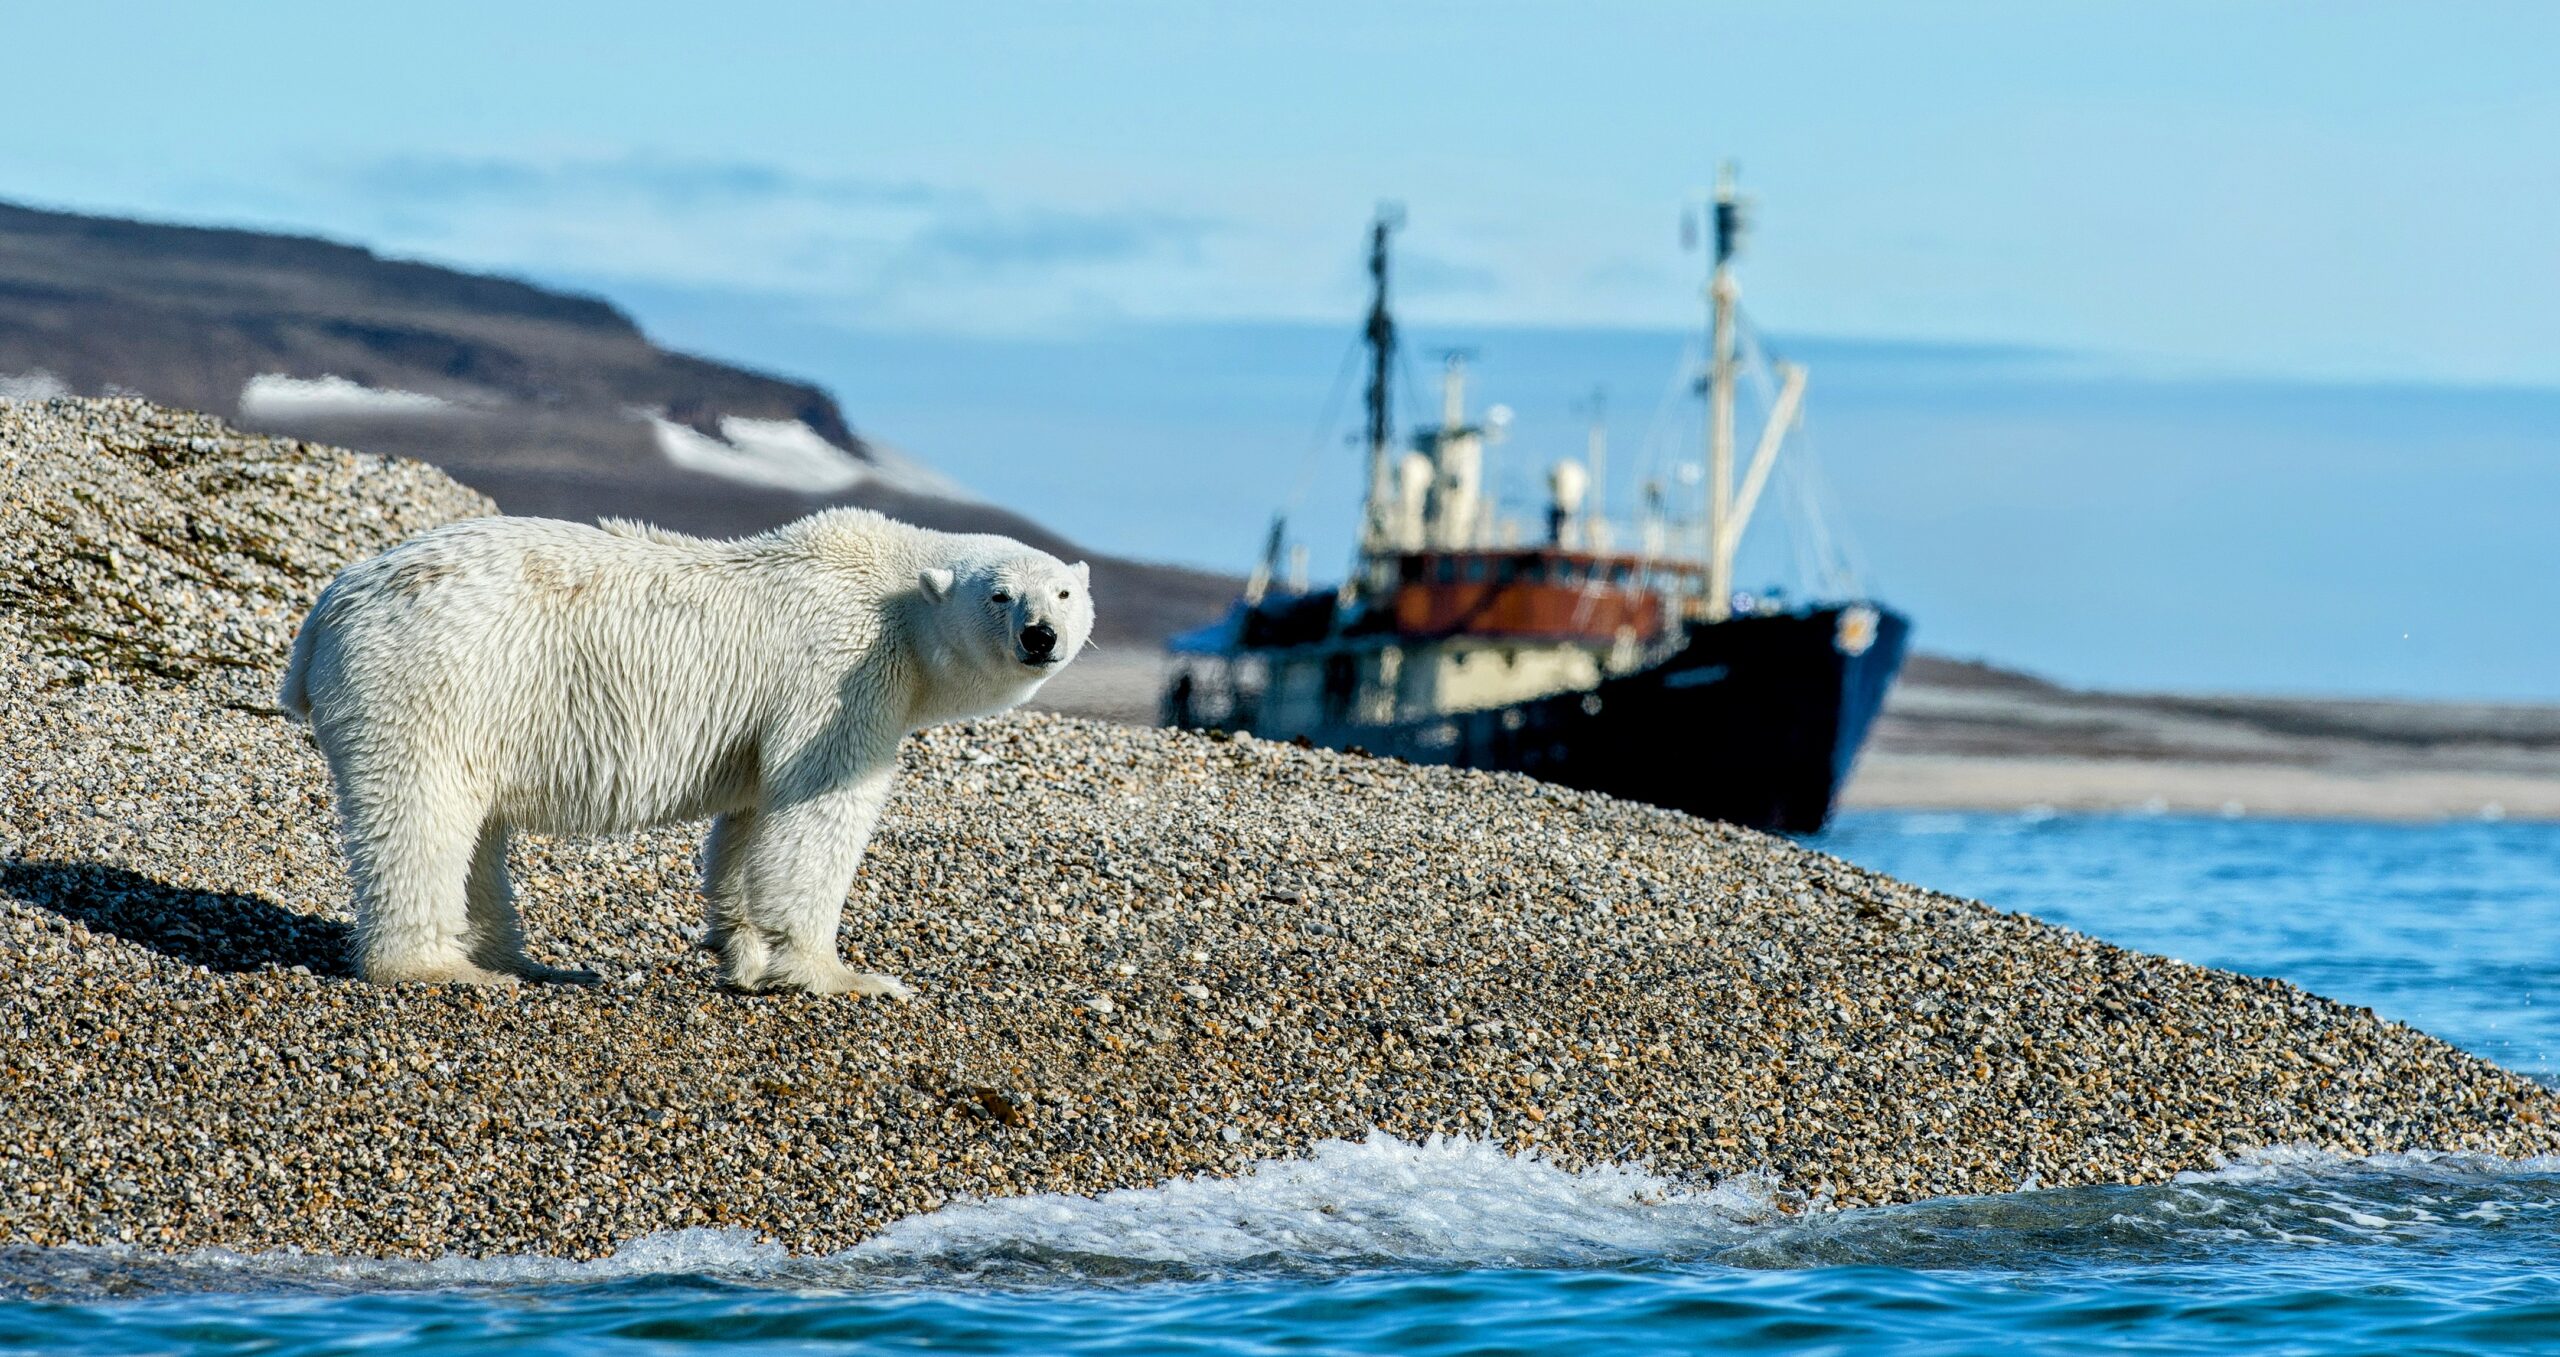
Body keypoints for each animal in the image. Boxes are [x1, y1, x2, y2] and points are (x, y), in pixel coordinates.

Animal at [275, 506, 1095, 993]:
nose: (1040, 636)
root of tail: (326, 609)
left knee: (476, 829)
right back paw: (442, 968)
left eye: (1062, 592)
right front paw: (845, 976)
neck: (892, 591)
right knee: (421, 812)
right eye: (999, 594)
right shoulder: (844, 671)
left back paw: (524, 960)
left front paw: (744, 953)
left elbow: (751, 822)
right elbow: (818, 813)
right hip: (432, 677)